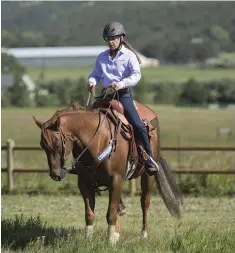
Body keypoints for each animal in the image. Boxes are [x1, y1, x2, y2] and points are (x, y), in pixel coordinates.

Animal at [33, 94, 184, 243]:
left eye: (57, 143)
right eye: (42, 145)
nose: (55, 174)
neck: (98, 139)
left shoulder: (116, 179)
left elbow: (111, 213)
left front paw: (110, 241)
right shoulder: (84, 182)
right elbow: (90, 213)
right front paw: (90, 239)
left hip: (148, 175)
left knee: (144, 202)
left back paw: (144, 234)